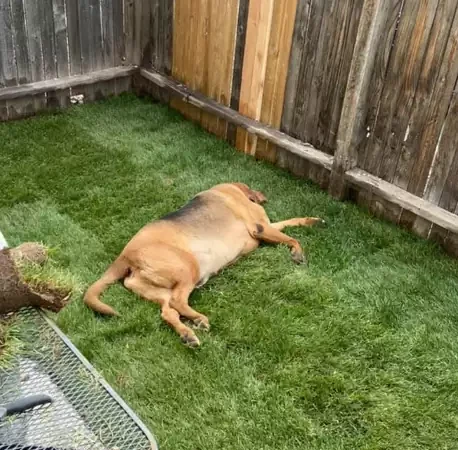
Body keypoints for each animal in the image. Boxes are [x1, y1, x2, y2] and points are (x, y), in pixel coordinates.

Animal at [84, 183, 324, 347]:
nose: (263, 196)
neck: (231, 189)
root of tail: (125, 256)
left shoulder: (268, 226)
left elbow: (292, 221)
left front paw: (313, 221)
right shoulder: (261, 227)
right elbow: (292, 238)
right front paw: (297, 253)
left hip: (154, 289)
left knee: (168, 312)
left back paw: (188, 333)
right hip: (188, 267)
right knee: (178, 302)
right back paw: (199, 319)